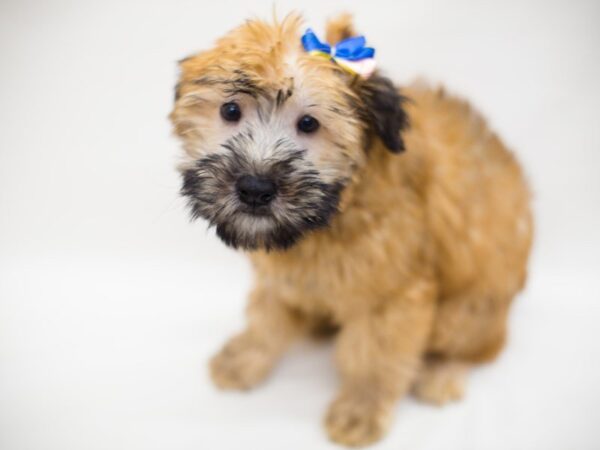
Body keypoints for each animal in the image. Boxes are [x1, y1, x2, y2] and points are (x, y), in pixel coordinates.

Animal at [170, 13, 536, 446]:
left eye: (309, 123)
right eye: (229, 110)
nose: (254, 188)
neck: (332, 216)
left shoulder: (391, 296)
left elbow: (375, 357)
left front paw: (361, 409)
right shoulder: (280, 276)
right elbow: (267, 314)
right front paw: (246, 357)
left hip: (470, 308)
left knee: (478, 346)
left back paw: (442, 373)